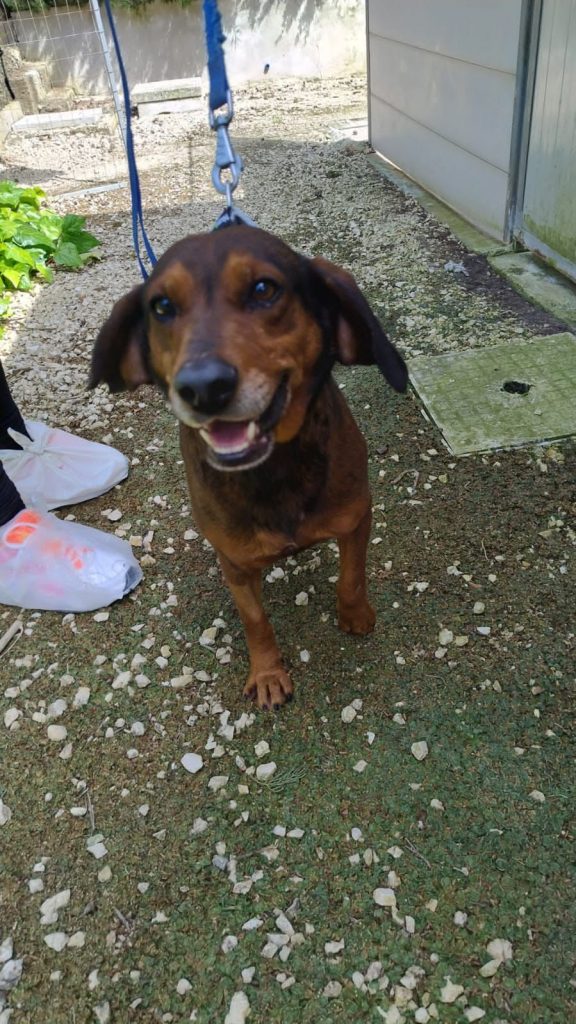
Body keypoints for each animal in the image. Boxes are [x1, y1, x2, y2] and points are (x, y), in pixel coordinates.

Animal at [90, 226, 408, 709]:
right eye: (161, 306)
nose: (203, 387)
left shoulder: (357, 517)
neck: (274, 468)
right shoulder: (236, 565)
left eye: (263, 289)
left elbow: (352, 577)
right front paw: (267, 673)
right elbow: (255, 620)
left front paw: (355, 616)